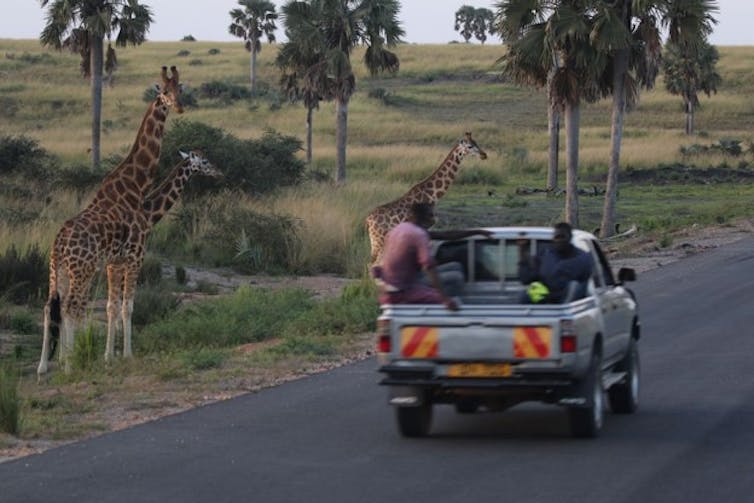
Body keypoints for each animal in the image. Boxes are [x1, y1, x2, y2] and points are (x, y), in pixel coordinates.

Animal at [38, 65, 184, 378]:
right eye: (165, 91)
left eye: (181, 89)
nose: (179, 106)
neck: (136, 184)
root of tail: (59, 244)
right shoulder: (133, 256)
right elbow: (126, 305)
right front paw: (125, 355)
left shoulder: (113, 261)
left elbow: (113, 306)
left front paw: (110, 356)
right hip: (82, 269)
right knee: (71, 307)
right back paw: (69, 364)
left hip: (58, 270)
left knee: (50, 306)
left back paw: (45, 367)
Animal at [364, 131, 488, 268]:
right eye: (470, 146)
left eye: (476, 143)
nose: (484, 155)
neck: (432, 195)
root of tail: (368, 220)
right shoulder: (423, 227)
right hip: (379, 239)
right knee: (372, 264)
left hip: (376, 240)